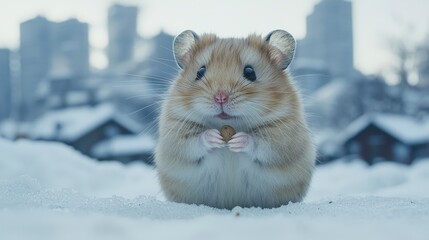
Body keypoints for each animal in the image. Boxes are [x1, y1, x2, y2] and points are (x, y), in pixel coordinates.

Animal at [154, 29, 314, 210]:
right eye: (200, 72)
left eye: (250, 72)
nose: (220, 97)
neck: (229, 123)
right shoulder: (175, 132)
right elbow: (194, 141)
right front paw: (215, 138)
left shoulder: (284, 137)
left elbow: (261, 144)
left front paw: (238, 141)